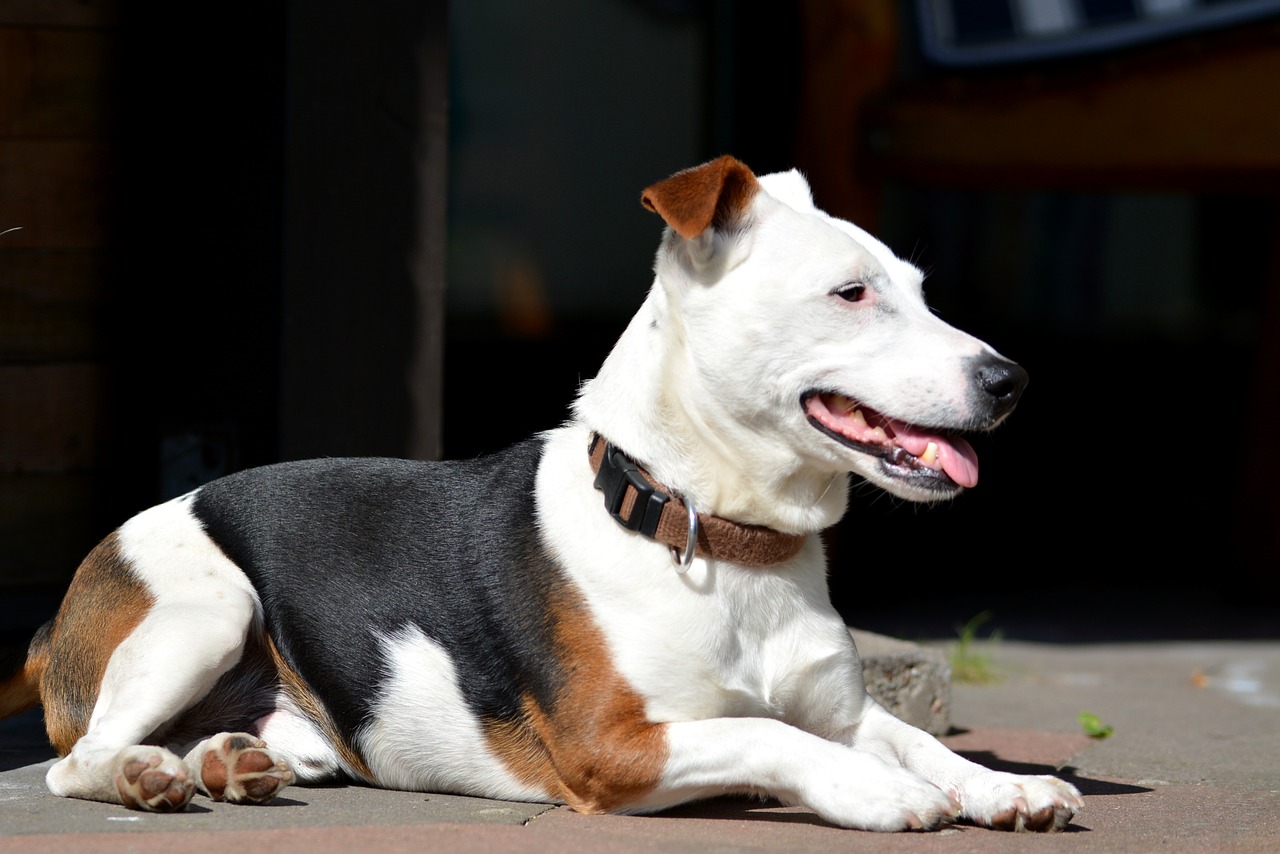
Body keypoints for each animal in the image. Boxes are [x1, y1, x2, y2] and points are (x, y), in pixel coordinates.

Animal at [0, 156, 1080, 829]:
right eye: (851, 294)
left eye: (920, 289)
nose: (1011, 379)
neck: (711, 535)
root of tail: (54, 620)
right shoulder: (613, 745)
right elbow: (767, 730)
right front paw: (875, 792)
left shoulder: (844, 709)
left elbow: (914, 738)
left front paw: (1002, 784)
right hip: (207, 606)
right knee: (75, 759)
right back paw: (150, 773)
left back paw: (227, 759)